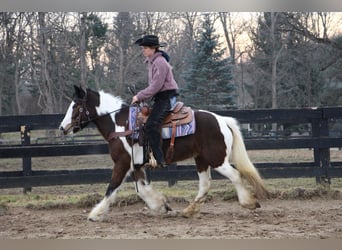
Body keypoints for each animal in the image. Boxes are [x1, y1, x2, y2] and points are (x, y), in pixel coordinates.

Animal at [59, 85, 270, 221]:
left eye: (76, 106)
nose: (62, 128)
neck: (121, 125)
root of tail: (222, 120)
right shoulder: (136, 165)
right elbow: (142, 188)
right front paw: (161, 205)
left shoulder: (122, 163)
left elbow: (112, 187)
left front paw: (95, 214)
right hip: (201, 160)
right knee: (205, 185)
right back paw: (189, 211)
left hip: (217, 159)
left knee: (235, 175)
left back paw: (249, 202)